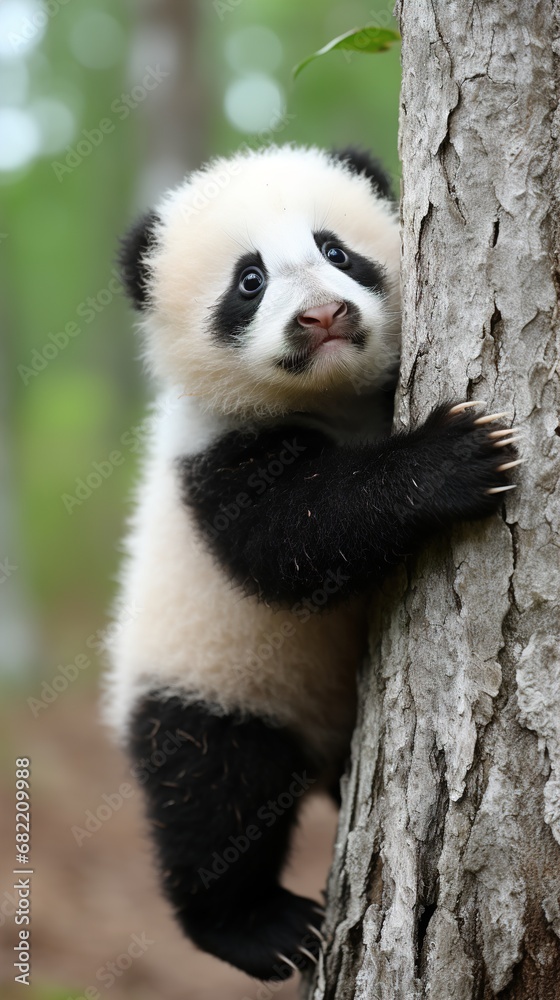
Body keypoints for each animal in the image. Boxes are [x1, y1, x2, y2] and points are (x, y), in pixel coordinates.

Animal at [105, 144, 519, 982]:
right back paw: (260, 929)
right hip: (211, 680)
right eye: (250, 280)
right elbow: (295, 543)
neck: (335, 397)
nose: (323, 316)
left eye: (335, 252)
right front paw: (455, 458)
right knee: (211, 791)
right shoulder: (218, 461)